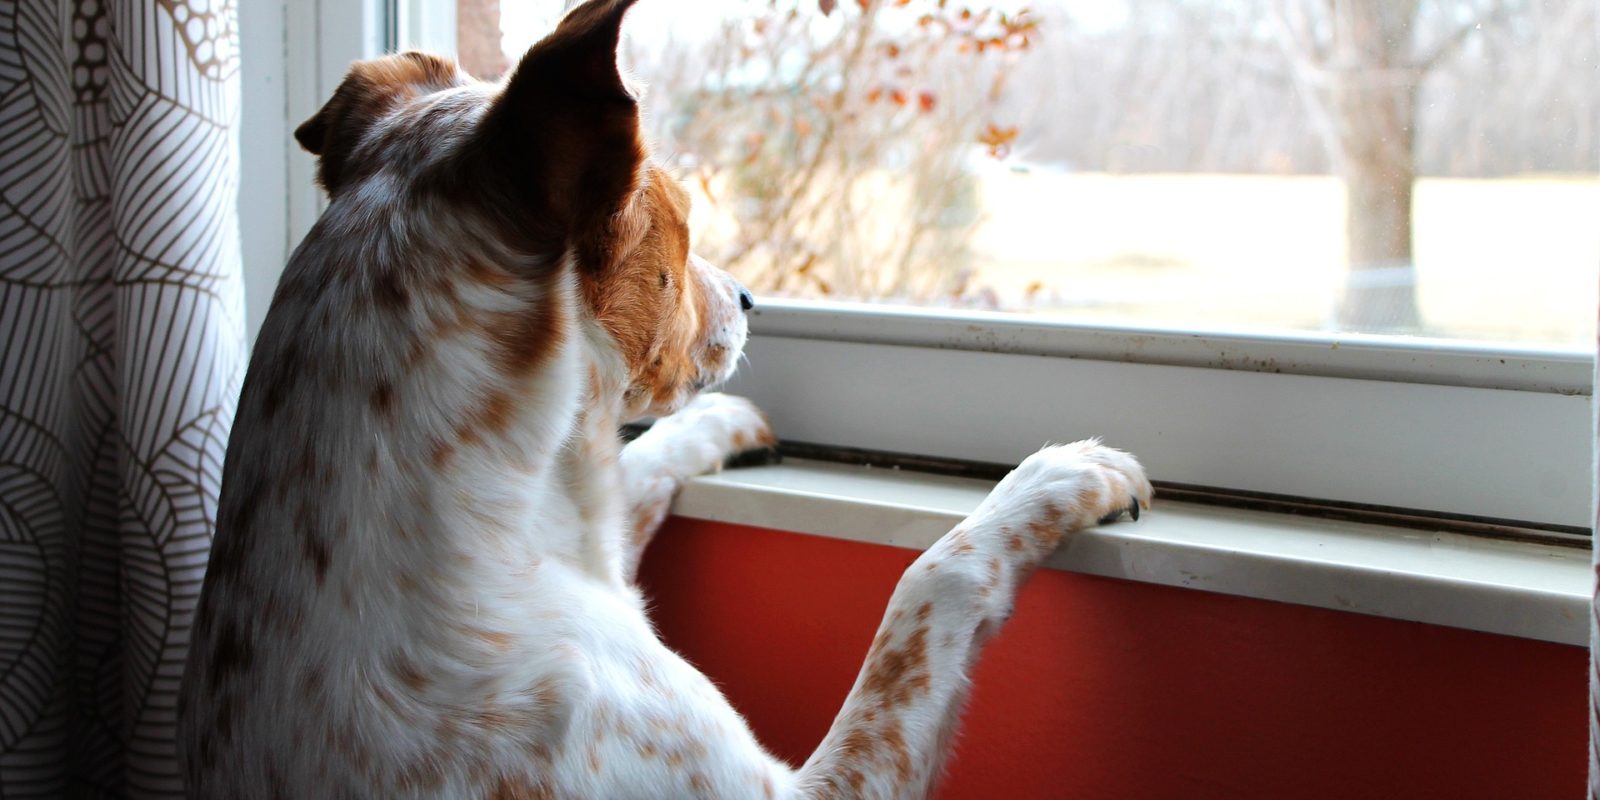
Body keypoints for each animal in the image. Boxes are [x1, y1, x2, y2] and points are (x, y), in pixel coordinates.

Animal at [178, 3, 1152, 796]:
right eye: (682, 221)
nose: (753, 299)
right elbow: (931, 580)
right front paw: (1062, 478)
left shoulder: (599, 528)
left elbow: (641, 462)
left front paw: (726, 425)